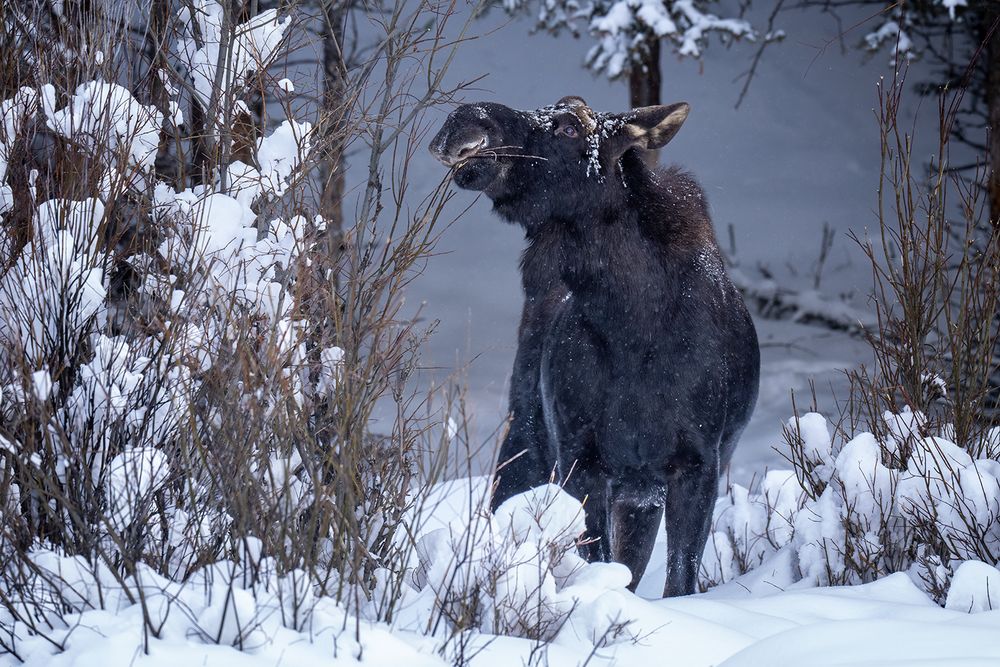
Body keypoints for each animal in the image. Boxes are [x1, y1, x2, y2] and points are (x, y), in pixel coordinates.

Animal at [428, 96, 756, 596]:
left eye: (569, 127)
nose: (464, 117)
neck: (633, 323)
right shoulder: (581, 459)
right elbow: (601, 563)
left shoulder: (698, 464)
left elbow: (678, 579)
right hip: (525, 448)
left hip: (637, 489)